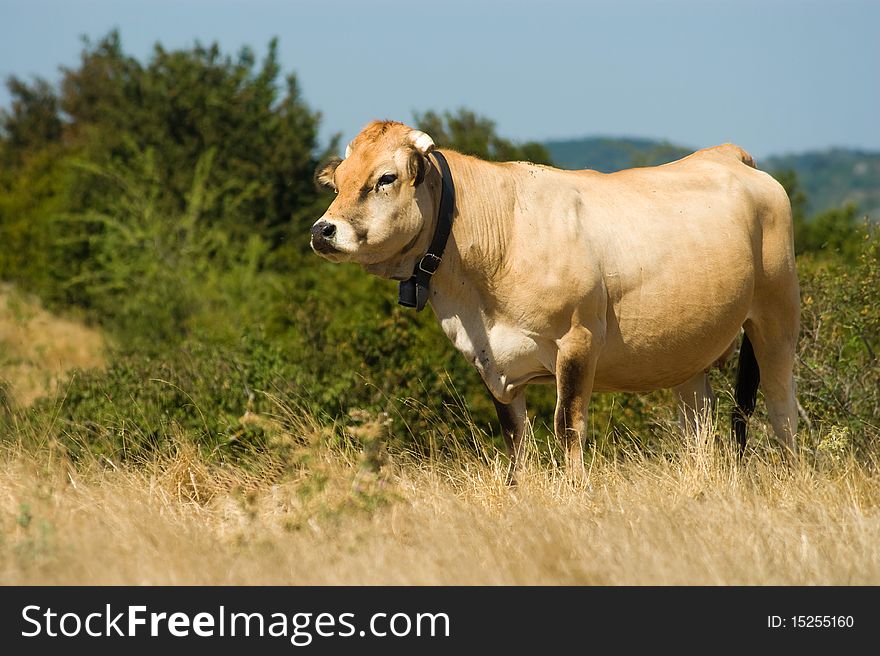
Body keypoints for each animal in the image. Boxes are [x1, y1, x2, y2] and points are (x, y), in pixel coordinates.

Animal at [310, 121, 796, 482]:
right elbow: (514, 438)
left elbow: (567, 426)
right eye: (338, 183)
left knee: (781, 407)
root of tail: (725, 153)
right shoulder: (493, 361)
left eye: (386, 178)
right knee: (699, 423)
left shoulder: (578, 341)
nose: (322, 230)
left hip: (777, 316)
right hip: (688, 349)